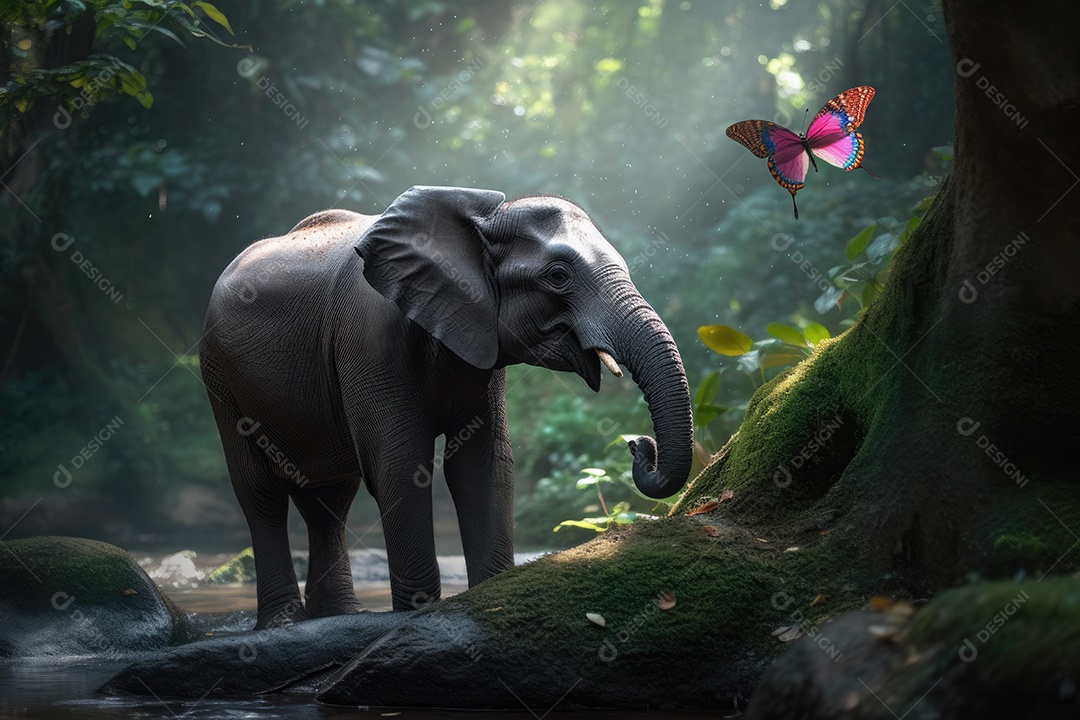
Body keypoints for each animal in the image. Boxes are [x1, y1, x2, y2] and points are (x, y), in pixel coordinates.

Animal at [199, 185, 693, 629]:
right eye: (558, 276)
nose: (637, 444)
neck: (482, 220)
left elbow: (484, 462)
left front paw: (491, 598)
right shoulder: (370, 340)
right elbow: (402, 464)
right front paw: (417, 614)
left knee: (330, 498)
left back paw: (342, 616)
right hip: (218, 374)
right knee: (260, 492)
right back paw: (284, 622)